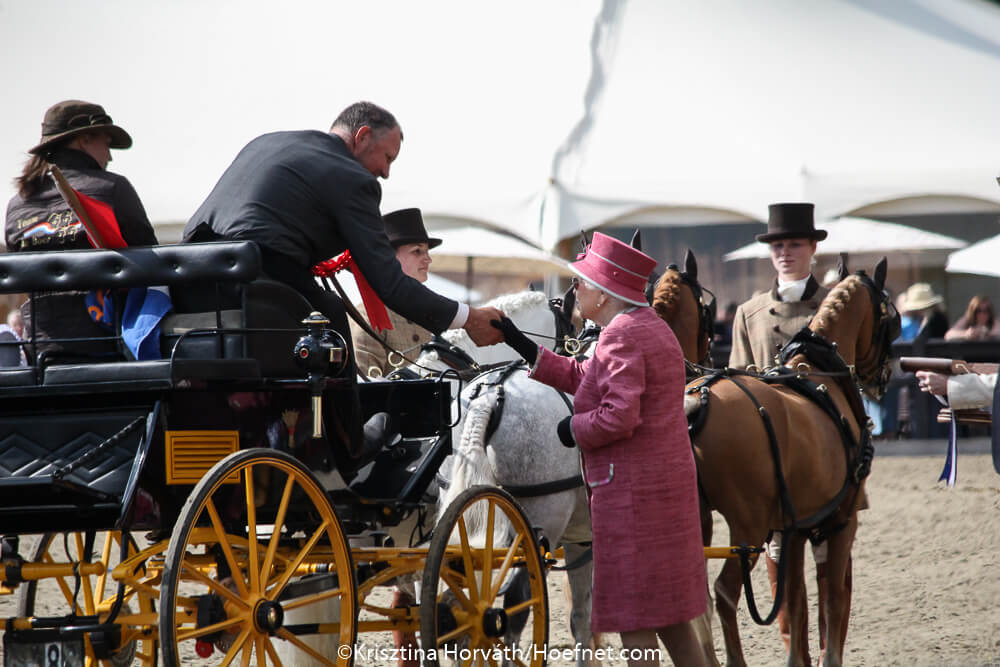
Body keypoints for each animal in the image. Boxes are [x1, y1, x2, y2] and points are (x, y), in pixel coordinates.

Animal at [684, 260, 898, 667]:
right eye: (892, 320)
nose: (885, 377)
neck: (817, 371)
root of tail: (696, 402)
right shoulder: (841, 521)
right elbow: (831, 597)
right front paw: (830, 658)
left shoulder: (792, 528)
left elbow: (795, 600)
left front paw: (796, 660)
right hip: (748, 529)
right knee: (724, 592)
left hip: (701, 522)